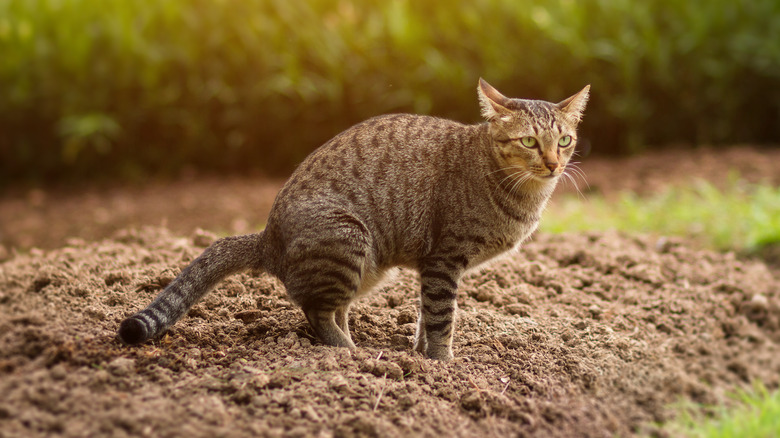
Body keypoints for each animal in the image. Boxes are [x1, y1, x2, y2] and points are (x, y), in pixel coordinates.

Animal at [119, 80, 588, 362]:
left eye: (564, 139)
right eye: (529, 142)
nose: (553, 163)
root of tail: (267, 237)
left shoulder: (433, 269)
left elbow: (425, 316)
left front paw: (419, 354)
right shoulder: (443, 261)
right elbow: (441, 317)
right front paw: (442, 364)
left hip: (367, 266)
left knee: (332, 308)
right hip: (348, 239)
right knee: (317, 312)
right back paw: (350, 355)